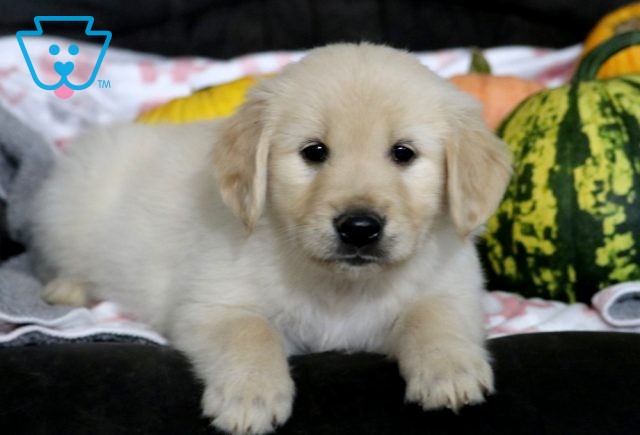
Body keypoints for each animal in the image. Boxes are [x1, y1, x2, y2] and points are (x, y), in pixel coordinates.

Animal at [33, 42, 510, 434]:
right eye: (314, 152)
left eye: (403, 153)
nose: (359, 228)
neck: (340, 283)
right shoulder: (212, 304)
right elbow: (250, 332)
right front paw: (250, 395)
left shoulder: (453, 287)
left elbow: (434, 317)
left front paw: (450, 370)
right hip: (69, 206)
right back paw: (67, 288)